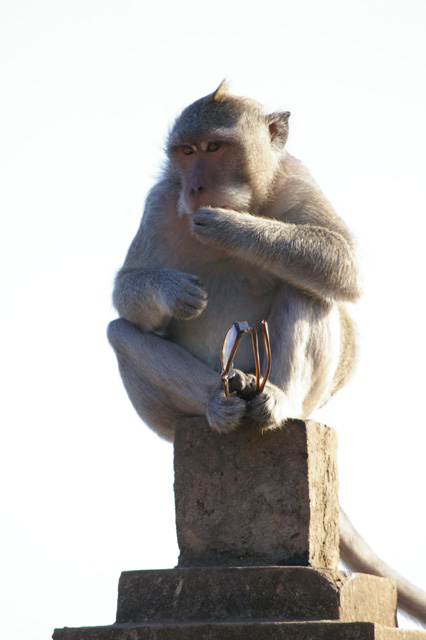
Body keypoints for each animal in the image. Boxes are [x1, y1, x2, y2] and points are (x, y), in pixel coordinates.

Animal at [106, 84, 426, 624]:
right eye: (185, 152)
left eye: (214, 148)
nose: (196, 188)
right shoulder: (160, 203)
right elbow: (126, 294)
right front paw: (171, 290)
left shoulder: (297, 179)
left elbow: (344, 263)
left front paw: (232, 226)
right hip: (176, 415)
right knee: (121, 333)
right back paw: (219, 406)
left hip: (309, 393)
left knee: (309, 287)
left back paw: (277, 402)